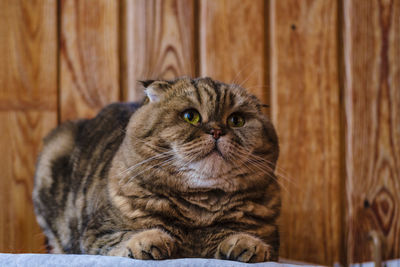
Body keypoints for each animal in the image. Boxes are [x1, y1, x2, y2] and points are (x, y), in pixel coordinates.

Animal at [32, 77, 280, 264]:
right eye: (191, 116)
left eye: (236, 120)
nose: (217, 131)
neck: (200, 210)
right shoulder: (97, 232)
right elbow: (125, 237)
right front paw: (150, 241)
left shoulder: (270, 235)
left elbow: (248, 238)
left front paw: (247, 244)